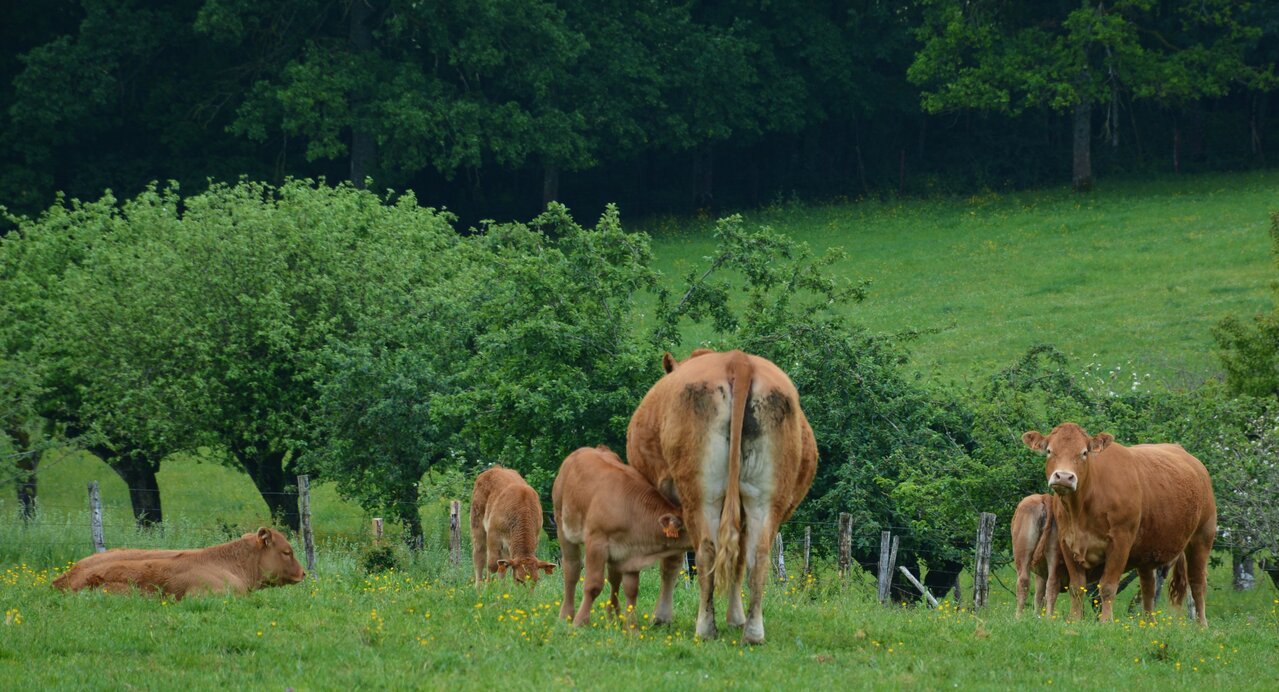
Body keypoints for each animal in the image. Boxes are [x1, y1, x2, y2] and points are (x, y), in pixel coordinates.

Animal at [552, 445, 692, 627]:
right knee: (572, 570)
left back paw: (614, 617)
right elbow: (593, 585)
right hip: (562, 526)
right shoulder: (596, 543)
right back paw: (566, 615)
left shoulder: (630, 552)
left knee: (614, 579)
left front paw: (631, 627)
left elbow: (631, 589)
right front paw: (580, 622)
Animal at [627, 348, 817, 644]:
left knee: (707, 551)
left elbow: (672, 561)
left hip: (701, 495)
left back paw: (705, 628)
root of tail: (738, 359)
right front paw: (736, 618)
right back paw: (753, 632)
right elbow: (738, 563)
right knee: (758, 556)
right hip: (763, 498)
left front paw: (662, 617)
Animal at [1023, 423, 1216, 624]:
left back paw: (1202, 624)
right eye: (1049, 451)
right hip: (1148, 548)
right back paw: (1149, 623)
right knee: (1148, 587)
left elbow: (1107, 587)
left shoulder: (1120, 541)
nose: (1064, 477)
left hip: (1202, 536)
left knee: (1197, 583)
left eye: (1084, 452)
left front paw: (1106, 622)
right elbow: (1077, 587)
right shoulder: (1067, 542)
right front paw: (1074, 620)